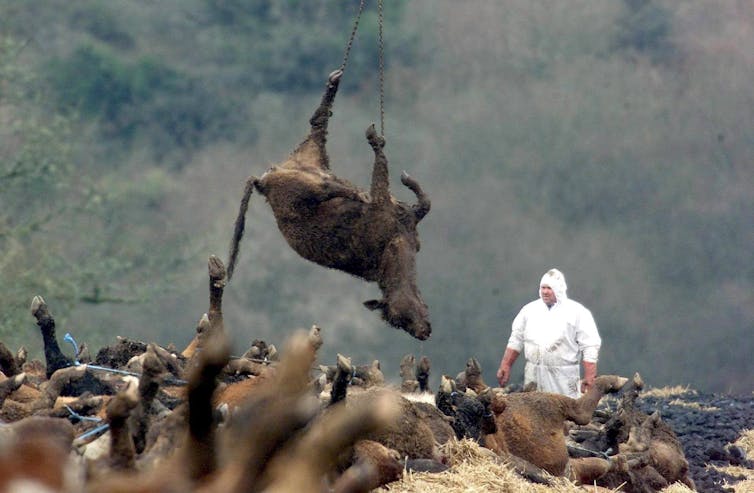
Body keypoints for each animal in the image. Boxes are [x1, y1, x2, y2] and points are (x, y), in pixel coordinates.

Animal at [228, 68, 428, 338]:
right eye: (400, 320)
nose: (424, 333)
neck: (394, 245)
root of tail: (265, 179)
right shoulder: (382, 209)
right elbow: (383, 176)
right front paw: (379, 147)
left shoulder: (410, 222)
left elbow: (423, 202)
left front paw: (407, 180)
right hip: (301, 191)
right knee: (329, 184)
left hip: (312, 152)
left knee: (318, 124)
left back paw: (334, 82)